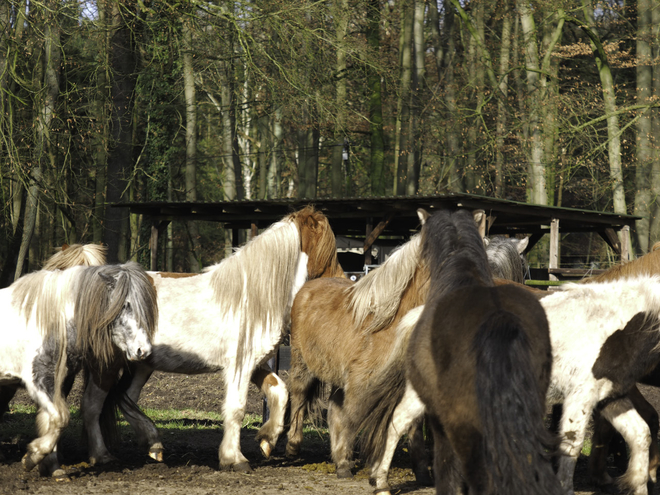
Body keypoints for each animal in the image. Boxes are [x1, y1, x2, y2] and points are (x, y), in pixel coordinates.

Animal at [0, 264, 159, 480]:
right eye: (125, 305)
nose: (144, 350)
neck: (51, 321)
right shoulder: (39, 380)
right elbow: (61, 418)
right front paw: (32, 457)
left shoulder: (59, 381)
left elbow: (49, 421)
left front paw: (53, 468)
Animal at [82, 205, 346, 472]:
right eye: (328, 249)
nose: (343, 283)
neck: (251, 296)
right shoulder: (239, 364)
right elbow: (236, 409)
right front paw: (234, 458)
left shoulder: (256, 363)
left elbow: (279, 392)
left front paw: (267, 440)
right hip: (109, 365)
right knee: (93, 406)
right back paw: (102, 456)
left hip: (140, 363)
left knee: (126, 399)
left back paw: (152, 444)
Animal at [358, 276, 660, 495]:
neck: (615, 326)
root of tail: (421, 314)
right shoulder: (580, 397)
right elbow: (571, 446)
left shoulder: (610, 398)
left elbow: (640, 435)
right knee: (398, 421)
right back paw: (381, 483)